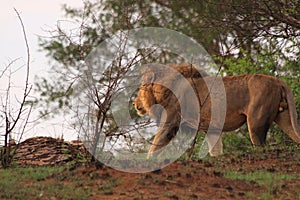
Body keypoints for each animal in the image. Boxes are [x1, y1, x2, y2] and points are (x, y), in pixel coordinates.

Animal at [134, 63, 300, 157]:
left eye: (140, 88)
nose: (135, 103)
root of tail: (278, 81)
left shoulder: (170, 122)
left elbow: (155, 146)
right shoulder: (212, 130)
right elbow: (216, 151)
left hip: (256, 122)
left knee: (260, 146)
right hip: (284, 117)